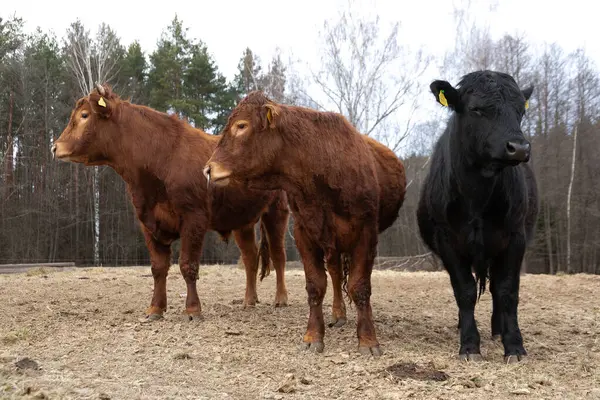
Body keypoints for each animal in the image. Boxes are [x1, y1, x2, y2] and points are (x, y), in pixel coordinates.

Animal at [51, 83, 290, 318]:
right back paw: (249, 300)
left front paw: (192, 309)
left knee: (279, 255)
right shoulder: (148, 220)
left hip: (277, 213)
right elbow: (158, 267)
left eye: (84, 115)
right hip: (242, 220)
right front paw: (155, 308)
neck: (158, 160)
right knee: (250, 258)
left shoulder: (194, 218)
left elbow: (187, 265)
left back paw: (281, 299)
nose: (55, 146)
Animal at [418, 70, 540, 364]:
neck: (478, 197)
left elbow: (507, 291)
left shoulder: (515, 237)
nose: (519, 147)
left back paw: (497, 329)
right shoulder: (447, 240)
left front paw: (514, 346)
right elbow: (464, 291)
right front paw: (470, 345)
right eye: (476, 109)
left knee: (495, 288)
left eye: (520, 110)